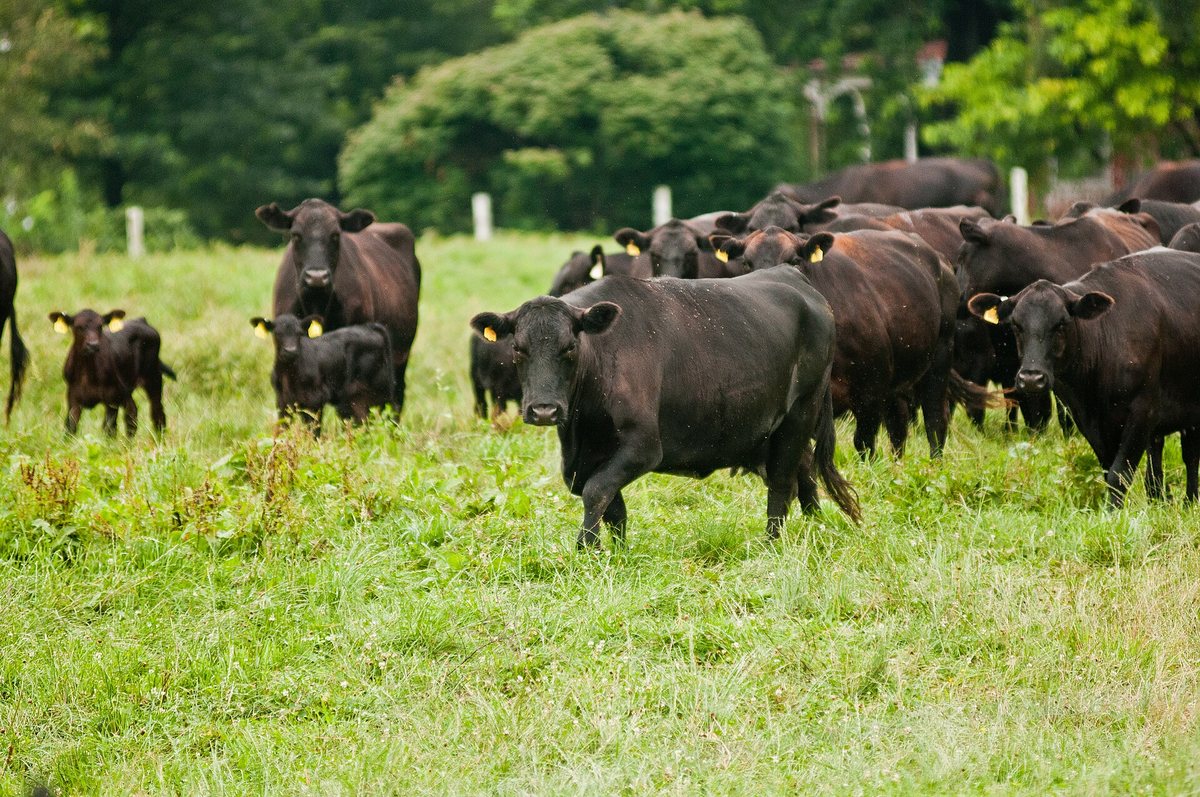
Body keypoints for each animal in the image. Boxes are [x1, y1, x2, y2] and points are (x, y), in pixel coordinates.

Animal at [251, 314, 394, 433]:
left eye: (299, 333)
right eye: (277, 333)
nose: (290, 350)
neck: (289, 375)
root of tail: (370, 327)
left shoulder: (315, 401)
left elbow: (314, 433)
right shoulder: (283, 403)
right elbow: (281, 431)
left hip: (367, 396)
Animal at [469, 269, 861, 547]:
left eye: (570, 347)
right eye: (518, 348)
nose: (544, 410)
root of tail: (795, 278)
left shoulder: (644, 446)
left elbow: (597, 491)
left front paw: (586, 548)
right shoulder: (586, 456)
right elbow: (611, 504)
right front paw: (617, 553)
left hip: (801, 411)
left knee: (782, 481)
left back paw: (771, 544)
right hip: (770, 429)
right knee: (804, 472)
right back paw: (815, 527)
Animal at [709, 226, 994, 457]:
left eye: (794, 260)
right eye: (746, 263)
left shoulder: (871, 390)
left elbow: (864, 443)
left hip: (939, 357)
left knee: (935, 420)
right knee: (899, 423)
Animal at [967, 249, 1200, 506]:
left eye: (1061, 324)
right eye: (1016, 325)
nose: (1031, 378)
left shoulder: (1142, 413)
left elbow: (1119, 474)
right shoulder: (1086, 418)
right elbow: (1108, 470)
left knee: (1190, 456)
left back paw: (1190, 500)